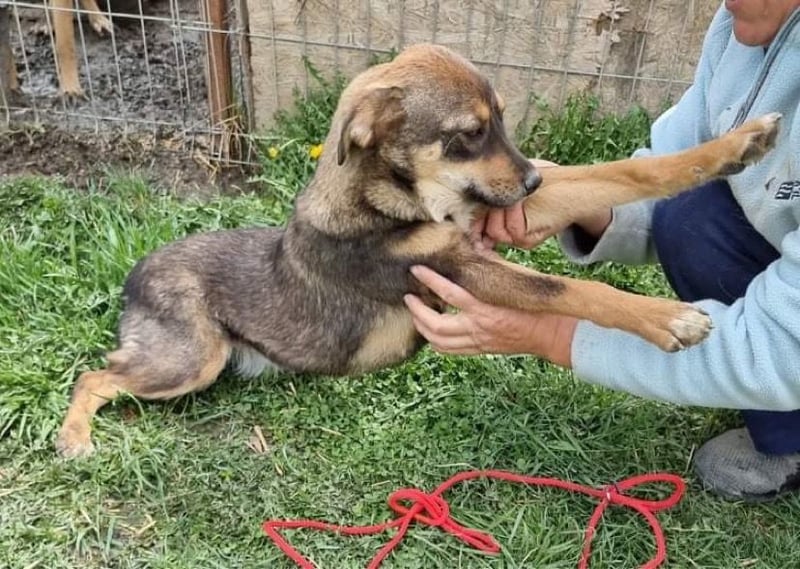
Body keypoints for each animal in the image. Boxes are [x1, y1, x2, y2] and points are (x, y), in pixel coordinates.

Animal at [55, 44, 781, 458]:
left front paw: (736, 146)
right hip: (191, 359)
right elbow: (575, 288)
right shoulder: (455, 264)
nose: (531, 182)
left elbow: (626, 173)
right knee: (94, 375)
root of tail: (135, 272)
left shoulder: (482, 220)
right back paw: (74, 437)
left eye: (503, 124)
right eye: (468, 134)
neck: (389, 200)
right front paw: (668, 319)